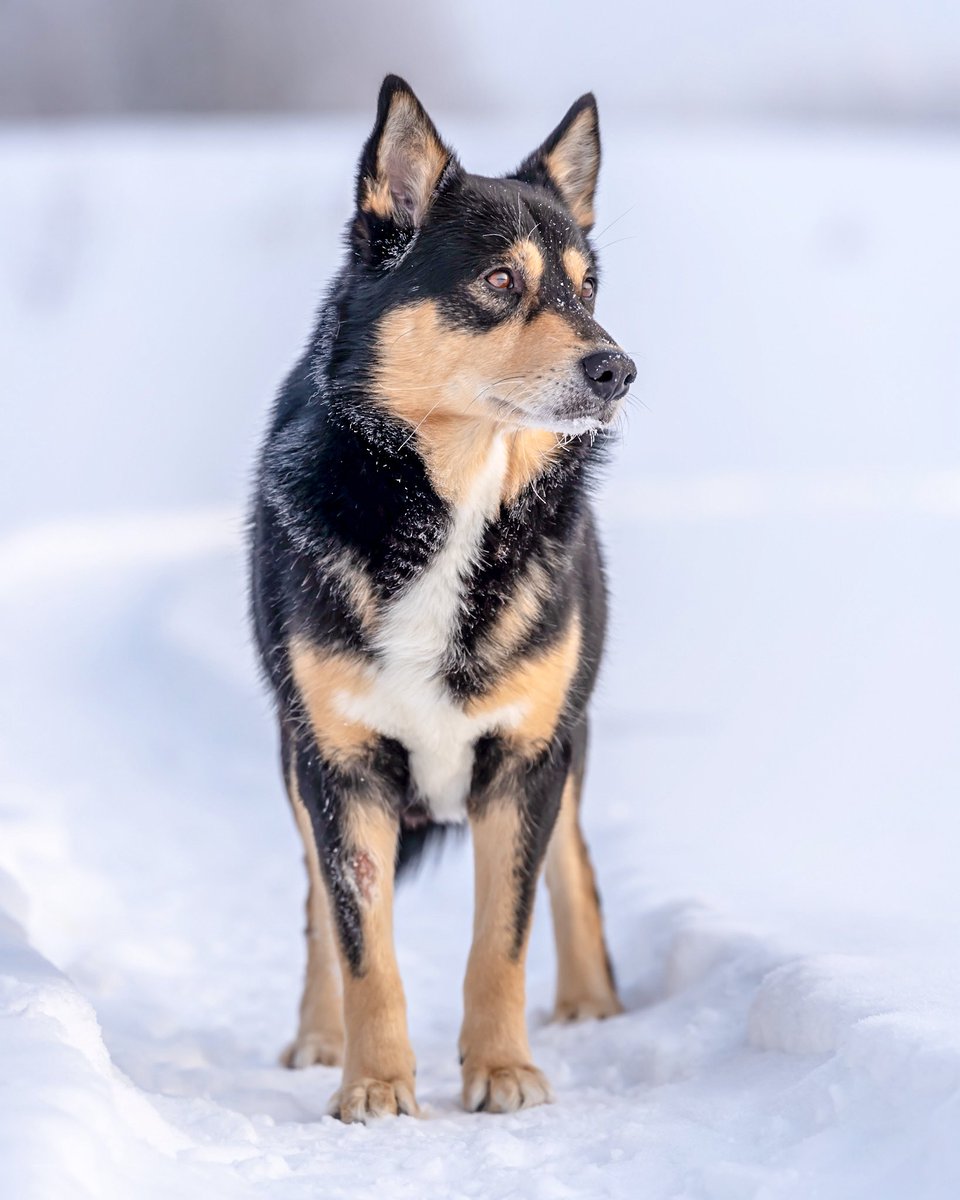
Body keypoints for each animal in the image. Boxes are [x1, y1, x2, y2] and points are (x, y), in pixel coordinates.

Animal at [250, 75, 633, 1123]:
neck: (454, 506)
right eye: (500, 280)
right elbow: (360, 944)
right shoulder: (337, 766)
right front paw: (374, 1084)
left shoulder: (528, 758)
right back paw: (317, 1036)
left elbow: (503, 936)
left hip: (570, 733)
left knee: (576, 866)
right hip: (292, 755)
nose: (618, 369)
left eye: (587, 288)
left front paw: (502, 1070)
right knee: (313, 902)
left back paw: (592, 1005)